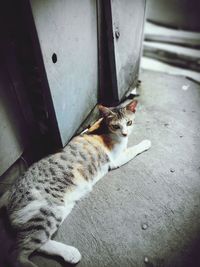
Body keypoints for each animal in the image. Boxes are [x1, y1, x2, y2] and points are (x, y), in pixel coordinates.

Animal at [0, 100, 150, 267]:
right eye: (116, 126)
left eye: (129, 122)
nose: (125, 133)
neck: (103, 127)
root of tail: (9, 193)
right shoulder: (116, 159)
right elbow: (133, 149)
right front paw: (145, 143)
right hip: (45, 212)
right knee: (16, 253)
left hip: (56, 210)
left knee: (38, 242)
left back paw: (70, 254)